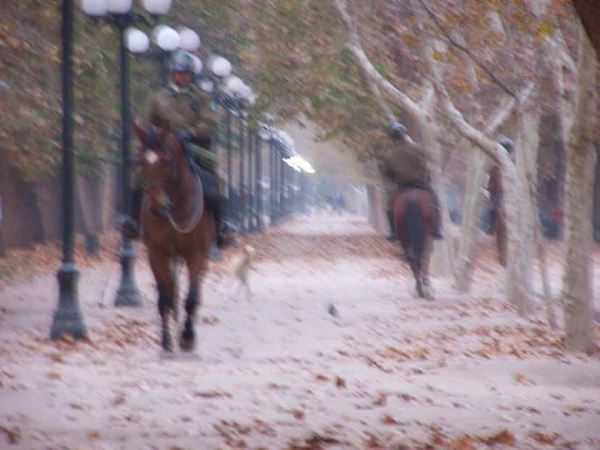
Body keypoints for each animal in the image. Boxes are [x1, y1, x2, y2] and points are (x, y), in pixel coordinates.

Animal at [134, 122, 216, 352]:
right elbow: (165, 298)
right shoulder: (156, 253)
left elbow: (192, 297)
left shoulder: (195, 253)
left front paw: (187, 336)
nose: (157, 207)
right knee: (172, 292)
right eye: (141, 160)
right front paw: (166, 340)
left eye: (167, 161)